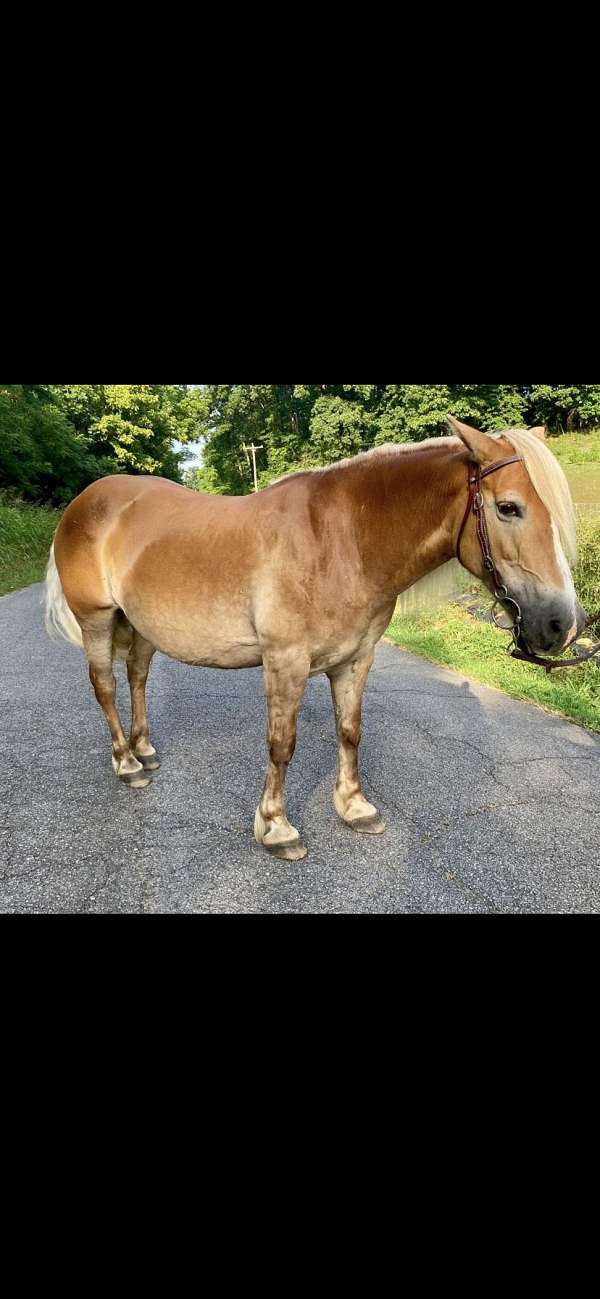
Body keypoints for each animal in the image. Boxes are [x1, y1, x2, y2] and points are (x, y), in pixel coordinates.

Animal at [45, 418, 587, 862]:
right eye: (508, 508)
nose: (563, 624)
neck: (341, 541)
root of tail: (85, 502)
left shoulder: (355, 659)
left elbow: (349, 732)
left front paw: (354, 806)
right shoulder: (285, 662)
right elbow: (282, 744)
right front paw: (276, 828)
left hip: (139, 627)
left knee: (137, 676)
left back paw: (145, 748)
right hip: (97, 621)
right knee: (106, 687)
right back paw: (126, 763)